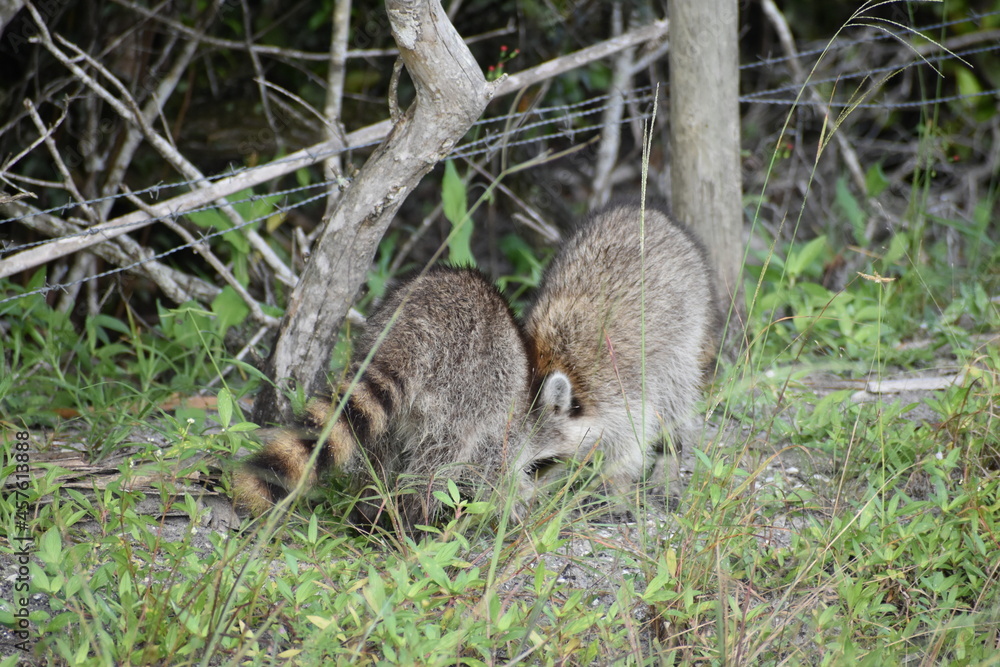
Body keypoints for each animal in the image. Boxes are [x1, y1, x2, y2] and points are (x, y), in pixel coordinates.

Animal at [233, 266, 533, 527]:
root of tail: (413, 334)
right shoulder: (493, 424)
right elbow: (489, 468)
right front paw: (510, 504)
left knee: (378, 449)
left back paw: (368, 504)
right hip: (463, 390)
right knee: (436, 463)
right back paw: (417, 520)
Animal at [517, 199, 718, 504]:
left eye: (541, 462)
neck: (549, 360)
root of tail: (645, 212)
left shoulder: (618, 387)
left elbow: (633, 437)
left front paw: (617, 482)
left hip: (685, 328)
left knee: (676, 396)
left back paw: (669, 455)